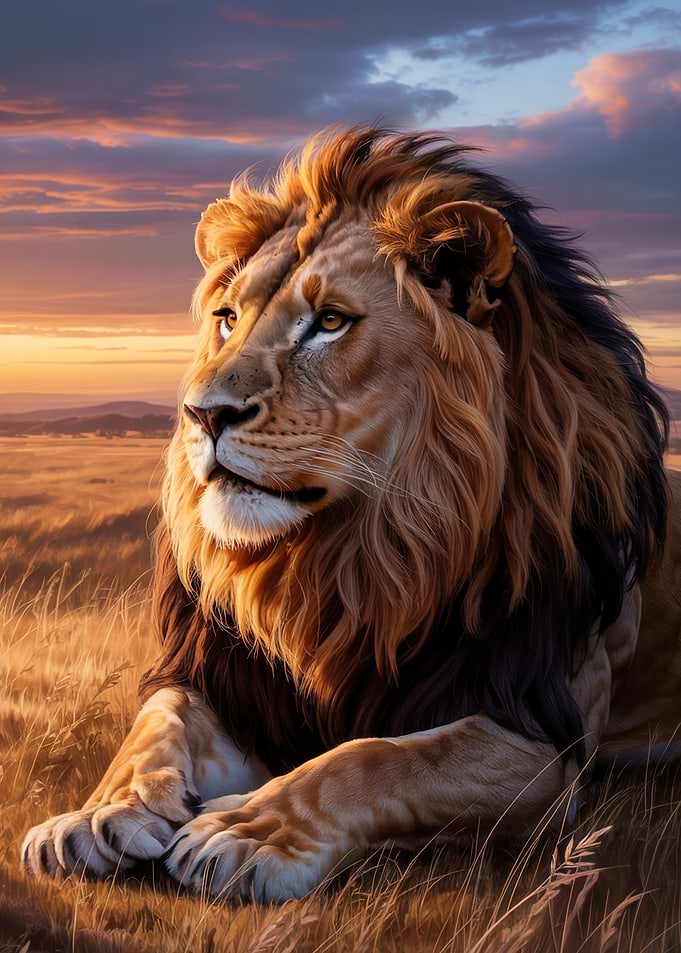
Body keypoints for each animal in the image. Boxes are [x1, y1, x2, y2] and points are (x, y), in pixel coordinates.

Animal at [22, 127, 681, 903]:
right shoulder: (231, 681)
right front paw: (99, 813)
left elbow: (377, 758)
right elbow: (156, 724)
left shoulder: (544, 739)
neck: (352, 559)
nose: (201, 413)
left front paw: (244, 829)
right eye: (227, 319)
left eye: (330, 322)